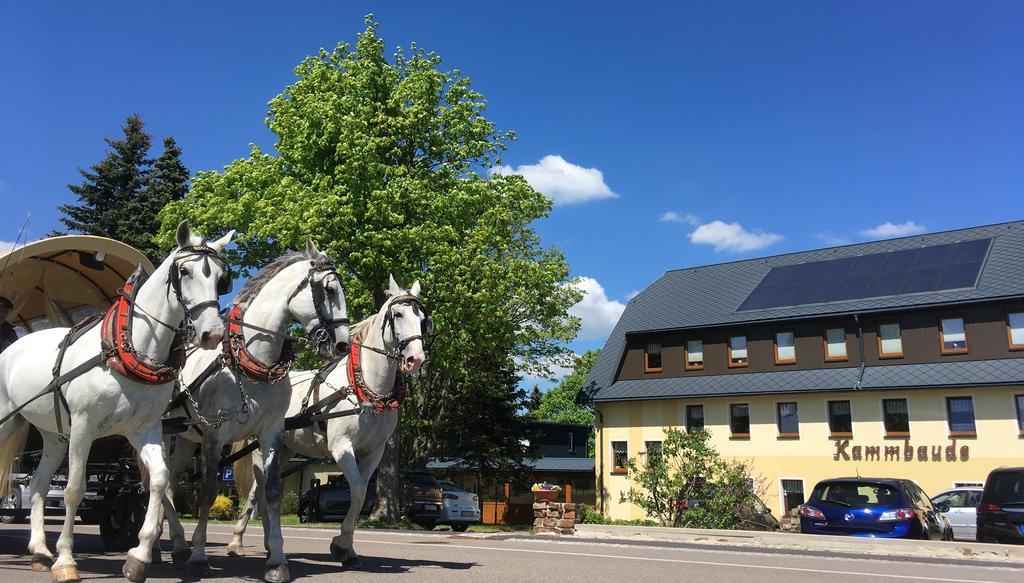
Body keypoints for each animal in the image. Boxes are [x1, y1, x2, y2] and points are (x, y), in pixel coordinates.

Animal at [0, 221, 231, 581]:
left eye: (221, 278)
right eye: (184, 271)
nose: (213, 334)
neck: (128, 349)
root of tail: (15, 346)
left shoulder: (144, 430)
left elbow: (160, 480)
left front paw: (139, 555)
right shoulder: (84, 428)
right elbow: (74, 490)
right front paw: (66, 561)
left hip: (54, 435)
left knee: (37, 485)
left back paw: (39, 550)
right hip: (9, 420)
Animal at [161, 238, 350, 577]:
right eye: (329, 290)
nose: (342, 344)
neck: (252, 362)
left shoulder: (270, 432)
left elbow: (272, 491)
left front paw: (277, 560)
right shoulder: (215, 435)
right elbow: (207, 492)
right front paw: (199, 555)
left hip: (184, 438)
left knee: (167, 481)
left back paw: (174, 543)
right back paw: (172, 545)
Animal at [229, 274, 428, 565]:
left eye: (422, 318)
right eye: (398, 314)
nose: (416, 359)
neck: (366, 387)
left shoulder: (373, 452)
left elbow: (361, 495)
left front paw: (348, 547)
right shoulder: (341, 447)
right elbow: (357, 489)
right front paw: (341, 544)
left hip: (285, 449)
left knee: (261, 489)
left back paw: (258, 542)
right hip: (260, 447)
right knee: (261, 490)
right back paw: (242, 543)